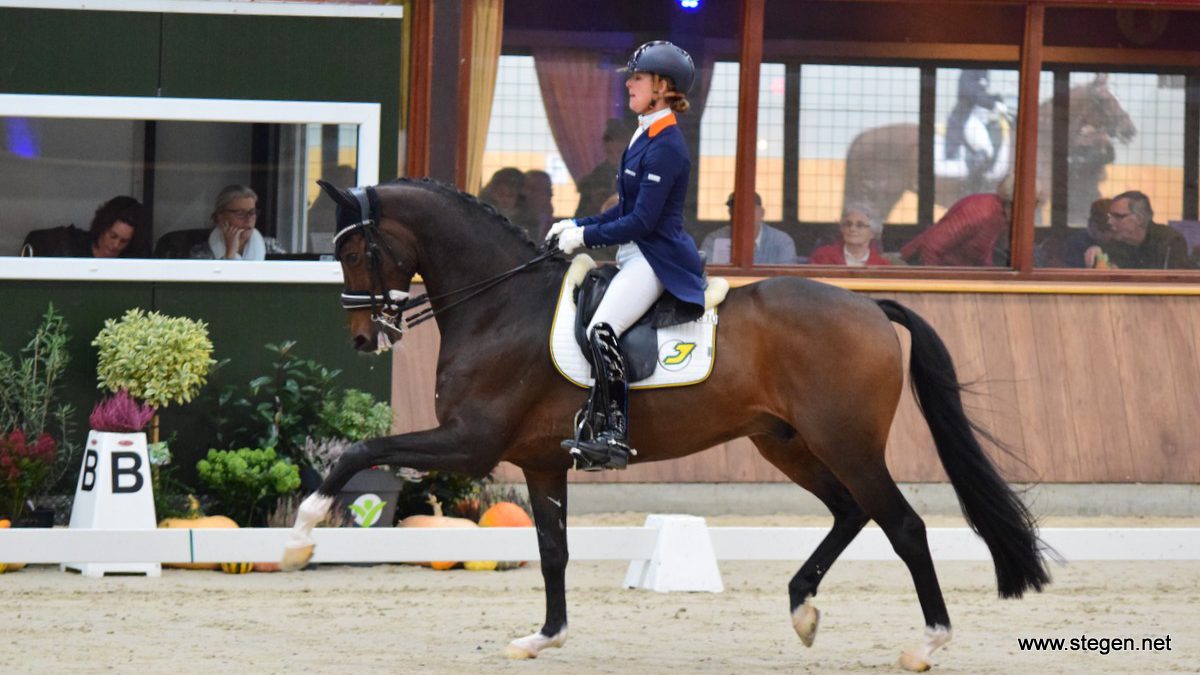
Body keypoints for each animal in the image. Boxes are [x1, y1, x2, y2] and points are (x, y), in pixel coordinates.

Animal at [283, 176, 1051, 667]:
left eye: (352, 250)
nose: (364, 338)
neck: (499, 304)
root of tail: (868, 305)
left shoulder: (470, 443)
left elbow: (360, 449)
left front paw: (302, 532)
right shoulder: (541, 459)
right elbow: (554, 550)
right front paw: (545, 637)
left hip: (846, 442)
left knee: (903, 525)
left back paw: (927, 642)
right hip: (787, 444)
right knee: (849, 513)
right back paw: (802, 609)